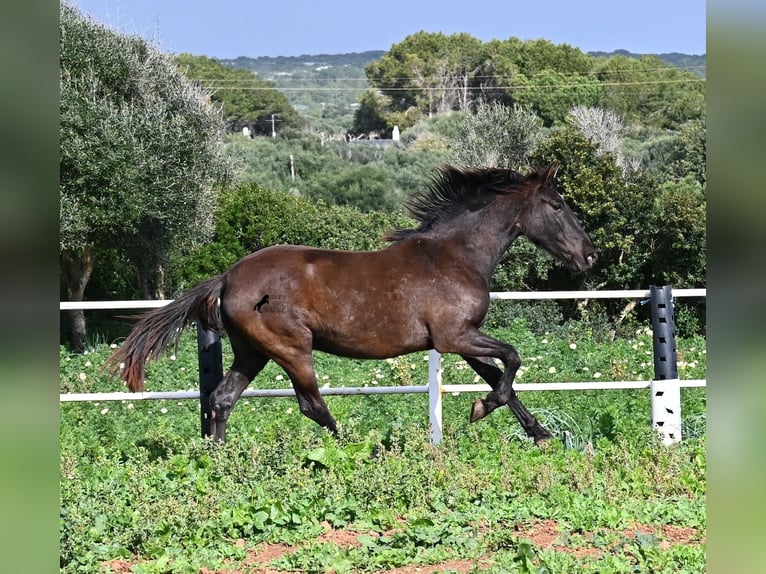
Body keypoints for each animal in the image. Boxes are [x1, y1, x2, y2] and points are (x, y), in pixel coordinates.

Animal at [108, 162, 600, 446]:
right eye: (556, 205)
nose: (590, 255)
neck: (456, 255)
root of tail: (227, 277)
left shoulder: (462, 340)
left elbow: (504, 380)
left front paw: (540, 434)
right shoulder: (456, 336)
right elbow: (512, 361)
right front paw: (481, 411)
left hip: (252, 352)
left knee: (222, 399)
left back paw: (219, 458)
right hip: (292, 349)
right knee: (311, 405)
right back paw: (357, 447)